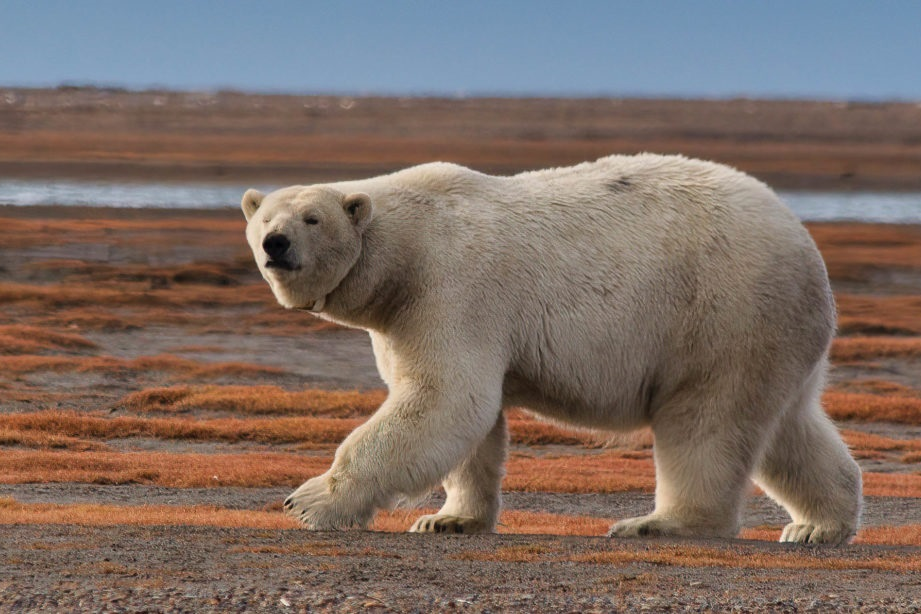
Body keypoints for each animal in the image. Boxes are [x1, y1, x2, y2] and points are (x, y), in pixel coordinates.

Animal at [242, 153, 862, 544]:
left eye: (312, 218)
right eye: (265, 217)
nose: (276, 243)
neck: (403, 254)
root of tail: (805, 245)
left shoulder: (451, 288)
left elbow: (445, 399)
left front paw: (309, 502)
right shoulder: (405, 317)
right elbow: (468, 420)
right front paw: (448, 520)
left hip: (721, 315)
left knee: (705, 422)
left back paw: (657, 524)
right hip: (773, 334)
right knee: (790, 427)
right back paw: (818, 525)